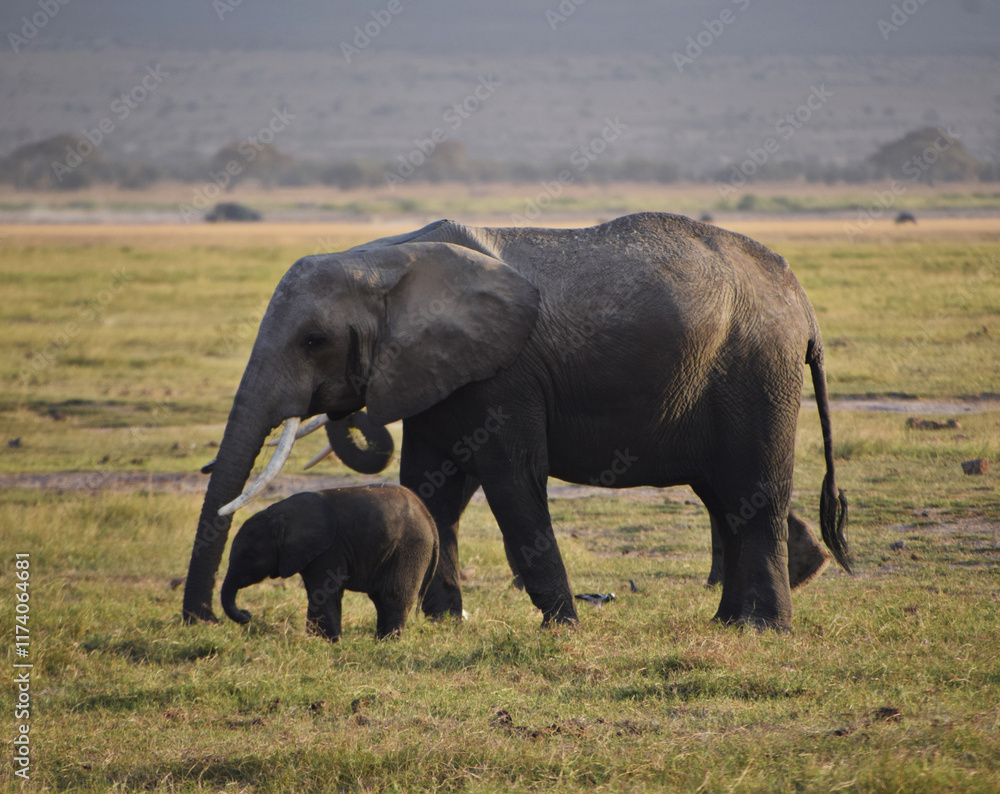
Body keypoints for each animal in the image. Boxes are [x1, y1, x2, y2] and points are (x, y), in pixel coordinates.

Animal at [221, 485, 438, 641]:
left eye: (248, 555)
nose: (247, 615)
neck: (278, 515)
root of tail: (429, 518)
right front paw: (319, 640)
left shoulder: (327, 548)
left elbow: (324, 592)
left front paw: (325, 642)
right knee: (379, 598)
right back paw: (379, 640)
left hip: (410, 548)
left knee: (394, 595)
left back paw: (390, 641)